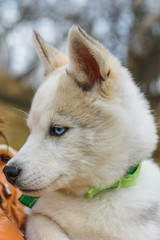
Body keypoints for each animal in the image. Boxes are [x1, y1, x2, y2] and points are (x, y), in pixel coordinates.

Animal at [3, 25, 160, 239]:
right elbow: (45, 226)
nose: (8, 171)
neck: (92, 196)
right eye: (31, 129)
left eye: (58, 130)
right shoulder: (38, 217)